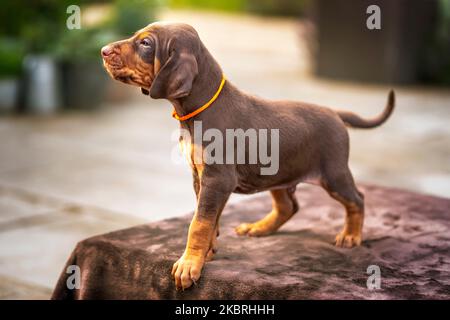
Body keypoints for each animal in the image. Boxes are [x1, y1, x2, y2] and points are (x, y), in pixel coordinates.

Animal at [101, 22, 394, 290]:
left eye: (145, 43)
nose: (103, 51)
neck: (198, 109)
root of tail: (334, 112)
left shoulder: (217, 179)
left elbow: (199, 223)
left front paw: (189, 264)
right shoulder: (201, 178)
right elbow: (210, 220)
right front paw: (207, 253)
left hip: (333, 174)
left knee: (357, 199)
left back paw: (351, 236)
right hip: (279, 172)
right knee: (288, 206)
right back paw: (259, 228)